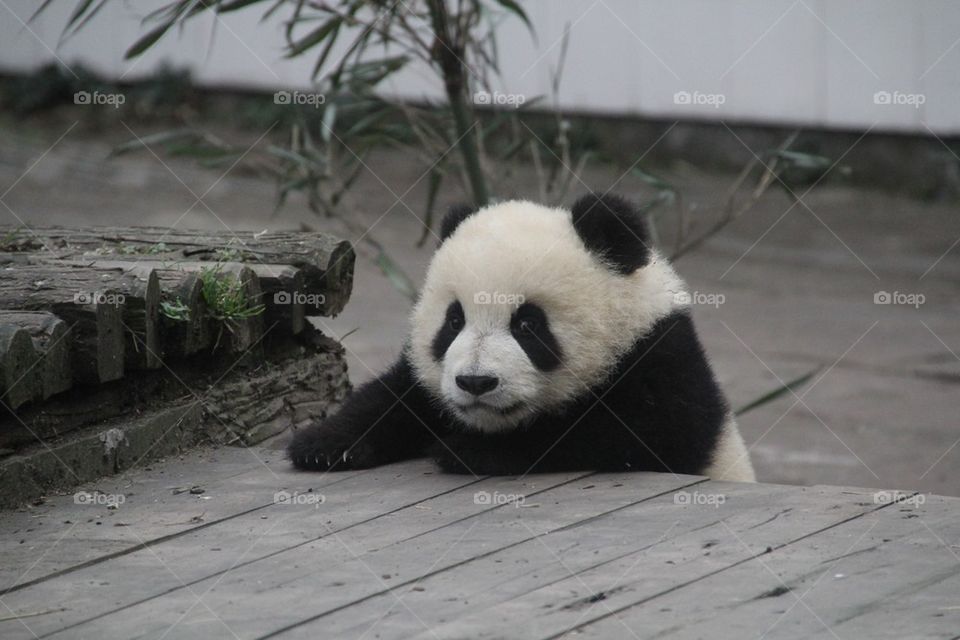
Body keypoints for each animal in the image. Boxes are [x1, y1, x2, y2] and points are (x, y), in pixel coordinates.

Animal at [288, 193, 756, 482]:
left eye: (528, 325)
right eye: (454, 321)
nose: (476, 382)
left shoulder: (660, 358)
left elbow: (629, 434)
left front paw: (470, 450)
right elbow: (399, 395)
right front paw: (323, 444)